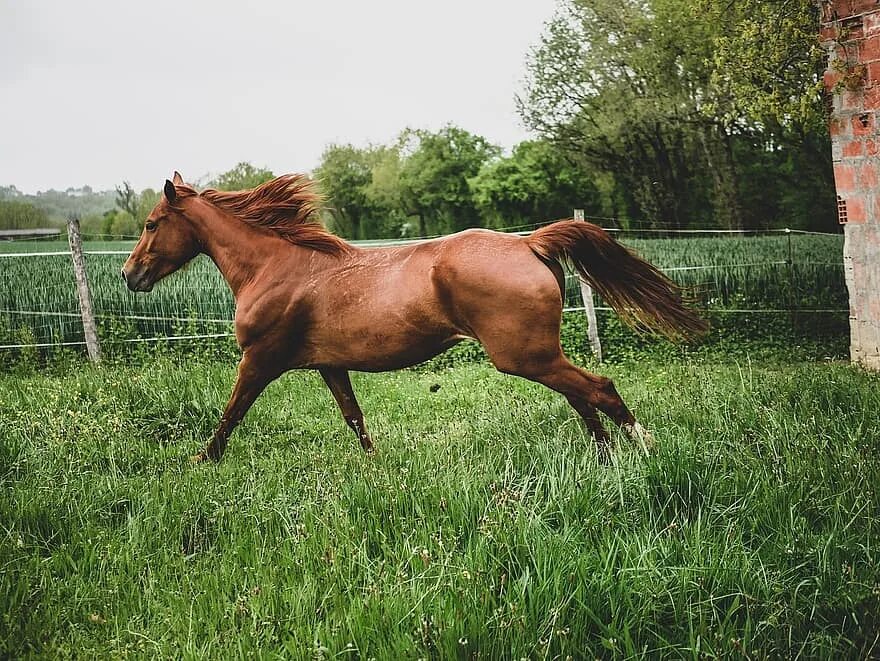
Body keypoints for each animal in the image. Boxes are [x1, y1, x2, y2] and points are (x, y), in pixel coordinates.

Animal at [122, 173, 700, 462]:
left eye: (151, 224)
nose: (130, 275)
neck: (274, 267)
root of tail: (528, 243)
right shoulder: (329, 365)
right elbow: (353, 417)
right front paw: (375, 466)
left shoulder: (260, 359)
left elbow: (231, 413)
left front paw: (202, 462)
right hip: (537, 355)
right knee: (581, 395)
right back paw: (605, 458)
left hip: (523, 355)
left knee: (598, 387)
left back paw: (643, 450)